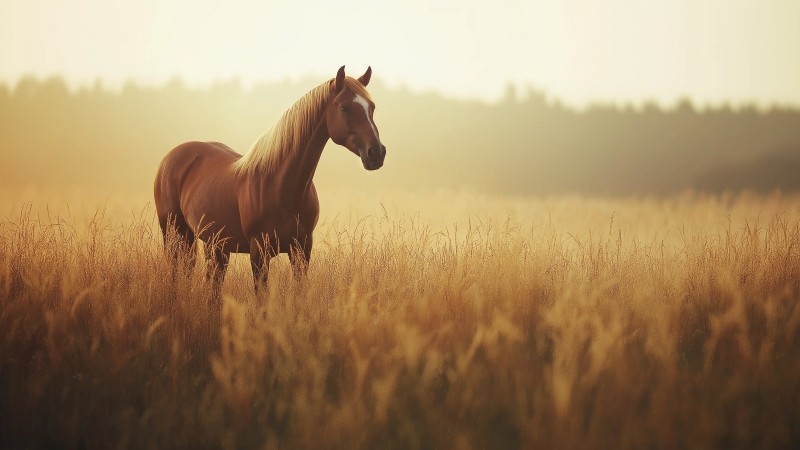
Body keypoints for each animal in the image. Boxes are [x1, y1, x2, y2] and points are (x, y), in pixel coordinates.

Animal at [153, 66, 386, 297]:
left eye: (372, 107)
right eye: (345, 108)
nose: (376, 153)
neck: (282, 186)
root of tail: (170, 158)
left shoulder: (302, 249)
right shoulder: (259, 253)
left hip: (215, 245)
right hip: (174, 234)